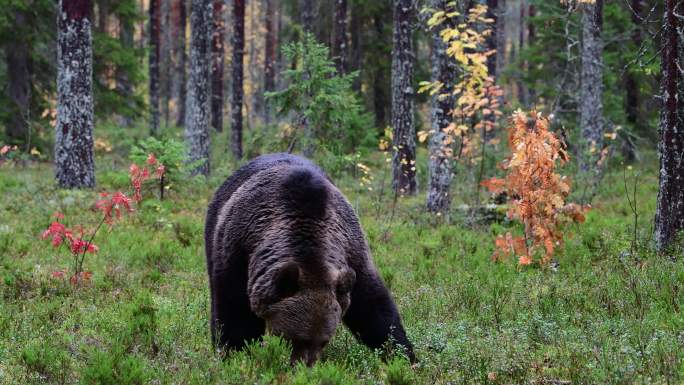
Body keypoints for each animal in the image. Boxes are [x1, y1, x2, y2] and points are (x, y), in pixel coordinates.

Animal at [206, 152, 414, 364]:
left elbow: (374, 310)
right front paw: (233, 353)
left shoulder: (352, 253)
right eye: (293, 338)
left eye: (324, 341)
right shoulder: (239, 251)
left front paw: (403, 355)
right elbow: (234, 312)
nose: (305, 364)